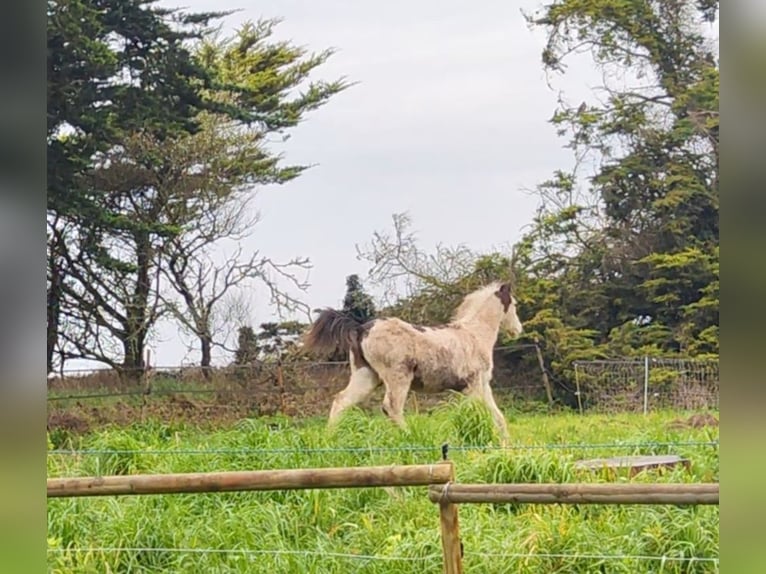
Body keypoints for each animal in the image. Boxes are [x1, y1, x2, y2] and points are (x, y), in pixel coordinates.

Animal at [302, 281, 523, 443]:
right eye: (514, 304)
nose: (518, 330)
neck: (474, 334)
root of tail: (361, 328)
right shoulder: (474, 385)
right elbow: (482, 413)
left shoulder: (482, 386)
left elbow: (498, 416)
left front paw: (506, 444)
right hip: (398, 378)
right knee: (391, 407)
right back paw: (411, 438)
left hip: (366, 377)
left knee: (341, 400)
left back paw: (330, 438)